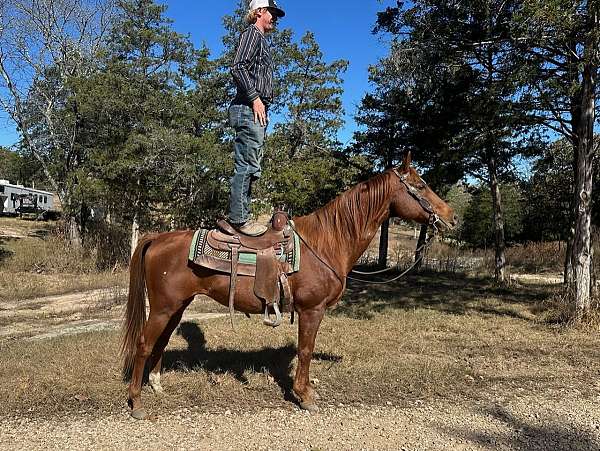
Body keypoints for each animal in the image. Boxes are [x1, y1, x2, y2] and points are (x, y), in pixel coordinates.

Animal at [124, 153, 458, 420]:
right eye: (420, 185)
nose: (452, 217)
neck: (326, 243)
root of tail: (157, 238)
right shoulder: (312, 310)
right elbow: (306, 350)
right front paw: (304, 395)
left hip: (177, 307)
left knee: (161, 341)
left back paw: (156, 385)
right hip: (163, 308)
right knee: (143, 344)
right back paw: (137, 402)